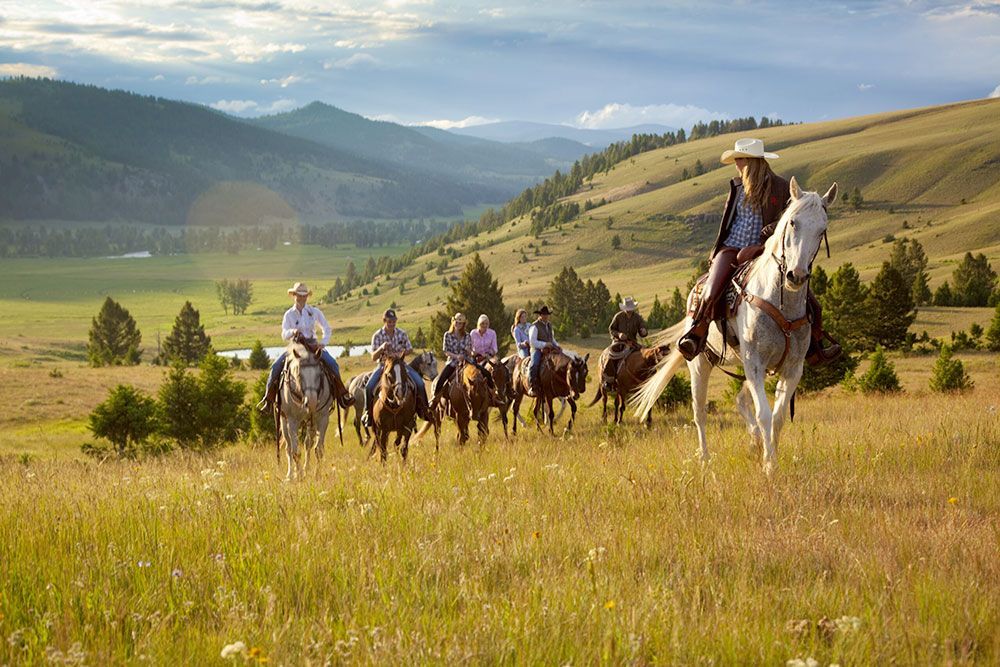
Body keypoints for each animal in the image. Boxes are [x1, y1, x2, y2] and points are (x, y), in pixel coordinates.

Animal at [278, 344, 332, 480]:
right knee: (288, 447)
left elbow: (318, 450)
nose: (311, 402)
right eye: (299, 374)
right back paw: (290, 475)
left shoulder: (323, 418)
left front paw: (317, 475)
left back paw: (306, 469)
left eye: (319, 374)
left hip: (310, 422)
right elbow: (295, 452)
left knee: (308, 443)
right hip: (284, 421)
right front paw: (299, 476)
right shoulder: (292, 421)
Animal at [632, 175, 836, 472]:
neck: (780, 301)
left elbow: (777, 418)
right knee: (700, 412)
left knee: (740, 400)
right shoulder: (755, 362)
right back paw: (705, 459)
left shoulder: (792, 368)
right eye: (792, 222)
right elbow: (764, 414)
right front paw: (769, 467)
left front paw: (769, 457)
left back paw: (754, 442)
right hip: (700, 363)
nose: (796, 276)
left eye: (822, 230)